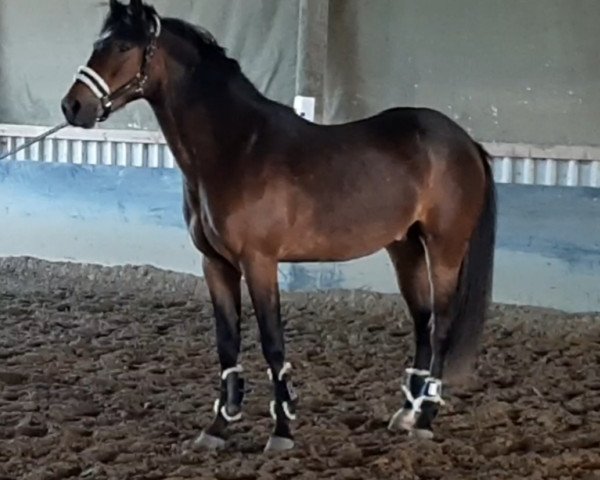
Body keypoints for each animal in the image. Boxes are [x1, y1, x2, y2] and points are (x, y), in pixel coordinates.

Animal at [61, 0, 496, 452]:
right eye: (98, 43)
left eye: (123, 46)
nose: (72, 107)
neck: (235, 148)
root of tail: (465, 142)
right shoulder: (215, 264)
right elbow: (227, 343)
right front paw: (218, 427)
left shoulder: (259, 262)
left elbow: (272, 342)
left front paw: (282, 430)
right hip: (404, 248)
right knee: (422, 325)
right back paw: (407, 414)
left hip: (444, 249)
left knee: (441, 327)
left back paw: (425, 419)